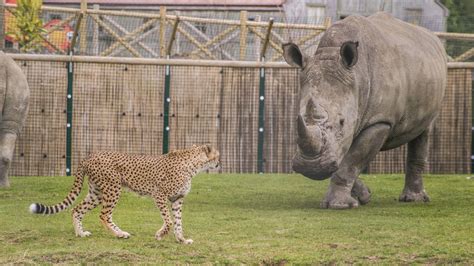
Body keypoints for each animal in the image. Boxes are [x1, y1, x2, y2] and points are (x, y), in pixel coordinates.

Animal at [29, 144, 220, 244]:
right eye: (217, 156)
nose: (220, 163)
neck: (193, 164)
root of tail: (89, 155)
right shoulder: (159, 195)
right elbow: (169, 220)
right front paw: (160, 235)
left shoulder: (177, 199)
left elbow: (179, 221)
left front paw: (181, 239)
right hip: (113, 188)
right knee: (104, 215)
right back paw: (120, 234)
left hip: (97, 192)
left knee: (76, 209)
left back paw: (81, 234)